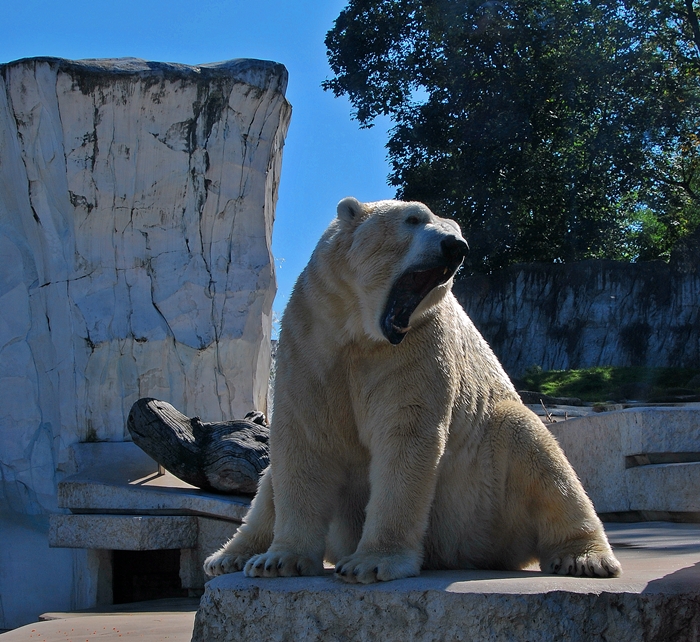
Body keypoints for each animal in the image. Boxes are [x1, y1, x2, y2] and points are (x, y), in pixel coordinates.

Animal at [205, 195, 620, 580]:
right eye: (413, 218)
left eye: (457, 227)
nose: (456, 246)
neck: (360, 327)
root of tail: (460, 554)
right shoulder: (312, 339)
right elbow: (305, 440)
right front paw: (279, 560)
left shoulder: (417, 347)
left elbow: (404, 437)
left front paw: (370, 563)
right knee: (268, 483)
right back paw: (230, 556)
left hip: (486, 488)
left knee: (538, 454)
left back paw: (585, 558)